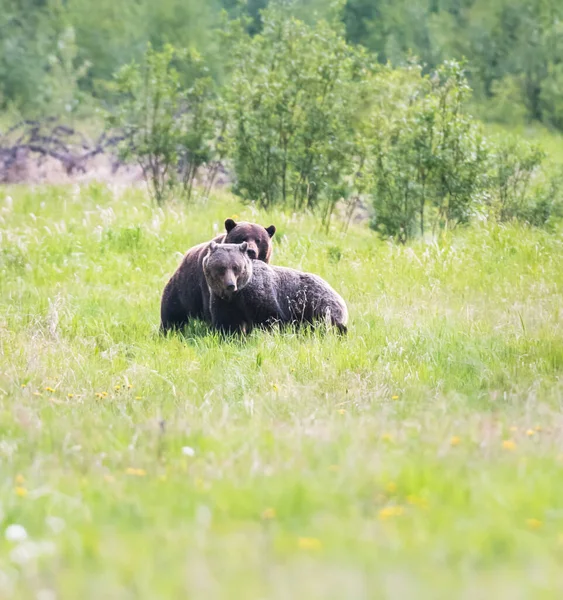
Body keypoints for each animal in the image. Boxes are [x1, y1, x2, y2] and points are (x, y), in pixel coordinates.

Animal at [200, 241, 350, 336]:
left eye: (236, 267)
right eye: (221, 268)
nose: (230, 285)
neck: (237, 295)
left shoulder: (259, 296)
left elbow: (271, 318)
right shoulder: (223, 301)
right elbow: (228, 324)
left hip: (316, 304)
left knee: (327, 323)